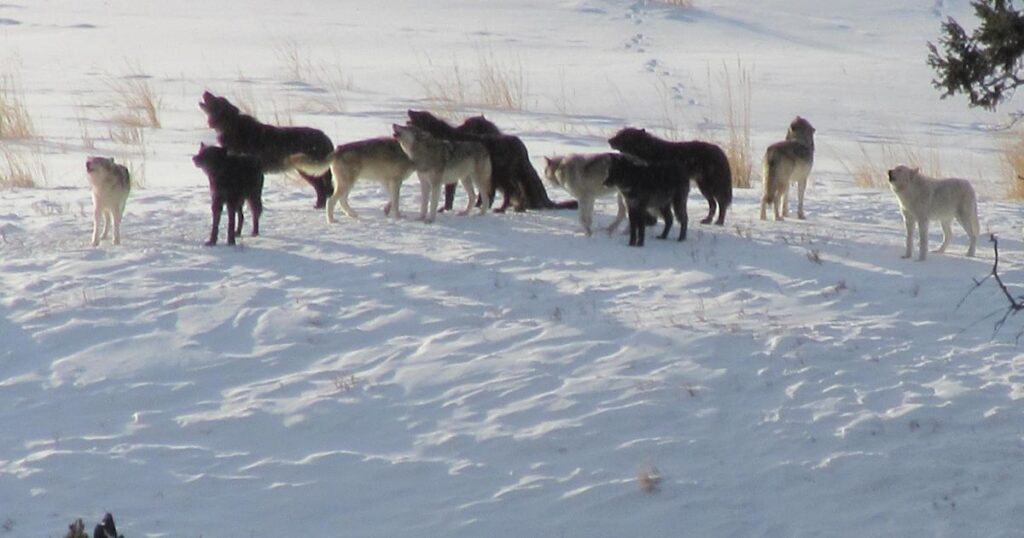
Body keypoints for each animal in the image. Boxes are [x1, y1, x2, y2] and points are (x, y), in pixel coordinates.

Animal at [196, 90, 331, 208]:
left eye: (217, 99)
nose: (206, 91)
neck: (230, 126)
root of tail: (326, 137)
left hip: (309, 170)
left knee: (323, 189)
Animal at [401, 110, 577, 212]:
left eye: (419, 114)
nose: (409, 110)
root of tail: (520, 145)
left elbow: (449, 195)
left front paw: (445, 209)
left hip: (502, 175)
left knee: (510, 192)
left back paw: (504, 208)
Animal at [602, 127, 733, 223]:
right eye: (619, 133)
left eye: (623, 136)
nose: (609, 140)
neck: (647, 151)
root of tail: (720, 152)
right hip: (704, 187)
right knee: (714, 204)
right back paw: (708, 220)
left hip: (711, 186)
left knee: (721, 203)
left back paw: (719, 222)